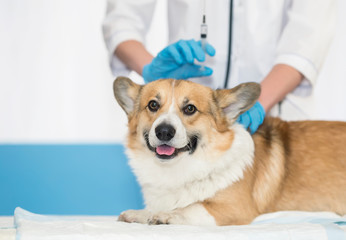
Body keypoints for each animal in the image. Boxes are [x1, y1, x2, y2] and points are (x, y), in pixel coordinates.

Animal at [113, 77, 346, 227]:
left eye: (190, 109)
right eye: (153, 105)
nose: (163, 131)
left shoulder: (232, 209)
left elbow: (190, 207)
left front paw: (166, 215)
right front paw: (140, 214)